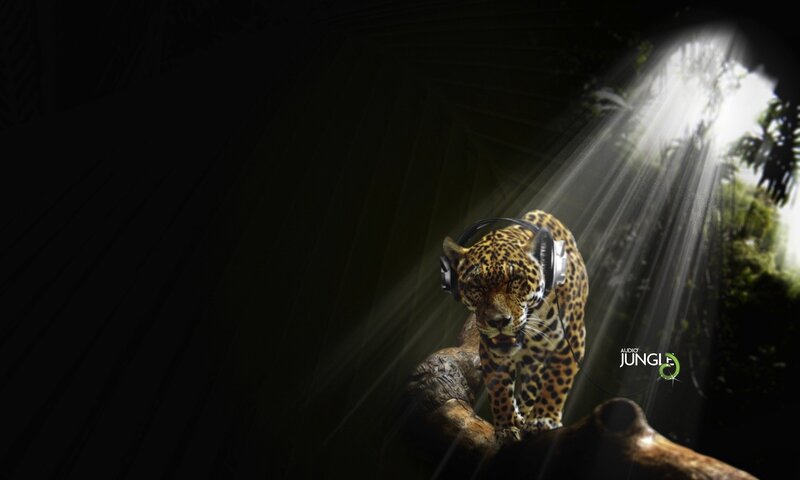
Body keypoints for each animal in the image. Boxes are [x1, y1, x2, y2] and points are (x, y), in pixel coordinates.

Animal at [442, 210, 588, 445]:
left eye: (515, 280)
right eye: (477, 286)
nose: (498, 321)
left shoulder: (572, 339)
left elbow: (556, 379)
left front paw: (543, 419)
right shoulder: (490, 351)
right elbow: (500, 389)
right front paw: (507, 426)